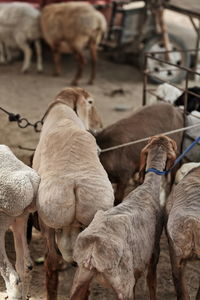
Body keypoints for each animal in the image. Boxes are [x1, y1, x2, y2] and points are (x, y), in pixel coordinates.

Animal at [32, 86, 114, 300]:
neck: (62, 108)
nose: (100, 125)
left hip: (49, 225)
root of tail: (74, 183)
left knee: (51, 265)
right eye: (91, 102)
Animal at [70, 135, 178, 300]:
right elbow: (152, 283)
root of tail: (93, 249)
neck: (147, 188)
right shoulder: (154, 252)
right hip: (123, 283)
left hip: (80, 279)